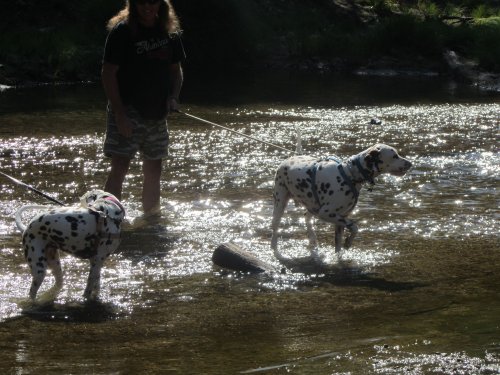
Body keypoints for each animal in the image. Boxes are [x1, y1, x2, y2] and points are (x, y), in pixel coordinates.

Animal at [272, 144, 412, 258]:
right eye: (394, 156)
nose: (410, 163)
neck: (349, 174)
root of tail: (292, 158)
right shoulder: (328, 214)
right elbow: (355, 227)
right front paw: (348, 243)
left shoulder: (340, 219)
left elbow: (339, 247)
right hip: (280, 205)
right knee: (275, 228)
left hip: (313, 207)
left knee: (307, 217)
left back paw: (312, 238)